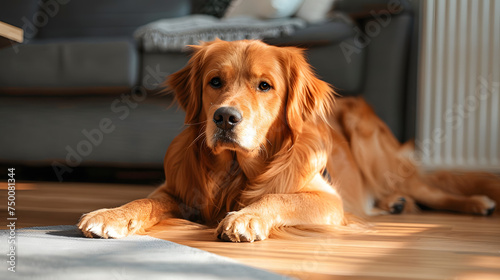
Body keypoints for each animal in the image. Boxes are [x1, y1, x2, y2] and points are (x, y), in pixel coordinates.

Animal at [77, 38, 496, 241]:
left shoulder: (329, 201)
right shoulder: (176, 190)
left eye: (265, 86)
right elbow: (143, 200)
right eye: (215, 81)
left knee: (432, 189)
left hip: (371, 145)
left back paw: (477, 202)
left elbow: (278, 197)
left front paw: (246, 218)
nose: (225, 118)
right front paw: (110, 215)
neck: (235, 171)